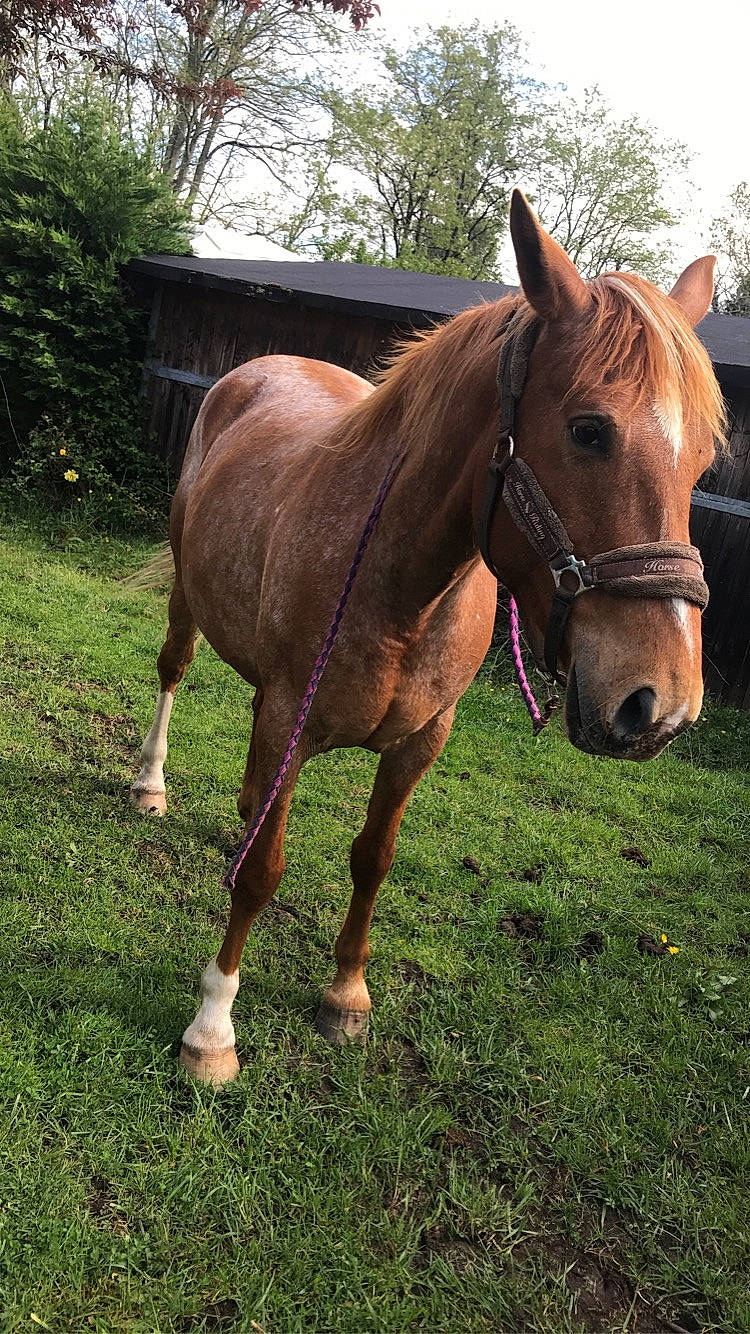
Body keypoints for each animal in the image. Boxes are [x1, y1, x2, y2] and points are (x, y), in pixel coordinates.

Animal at [131, 191, 724, 1085]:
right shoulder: (294, 716)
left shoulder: (421, 742)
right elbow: (264, 875)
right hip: (188, 608)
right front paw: (213, 1028)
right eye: (590, 430)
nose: (659, 707)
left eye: (702, 461)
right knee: (174, 672)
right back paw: (150, 785)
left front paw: (346, 995)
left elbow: (372, 857)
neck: (403, 586)